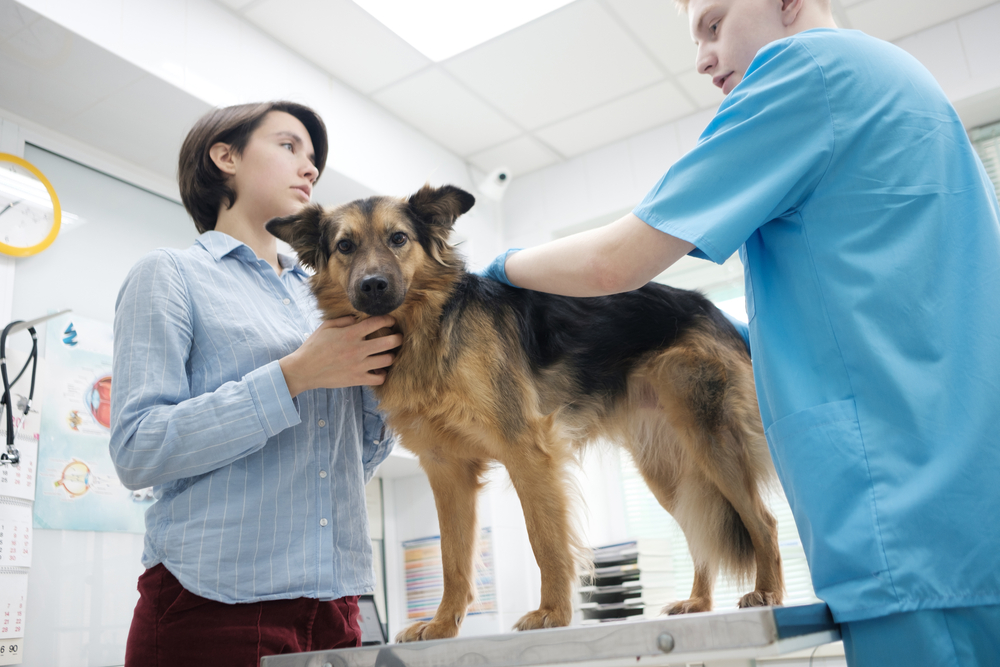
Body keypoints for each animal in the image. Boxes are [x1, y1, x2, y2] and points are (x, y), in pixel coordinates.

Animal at [270, 183, 784, 640]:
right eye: (345, 246)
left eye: (398, 239)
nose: (373, 286)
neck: (430, 329)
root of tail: (711, 309)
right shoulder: (446, 470)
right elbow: (453, 559)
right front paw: (443, 626)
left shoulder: (528, 449)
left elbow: (546, 540)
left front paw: (553, 614)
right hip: (667, 470)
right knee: (700, 531)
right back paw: (699, 602)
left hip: (711, 438)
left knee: (763, 521)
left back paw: (767, 593)